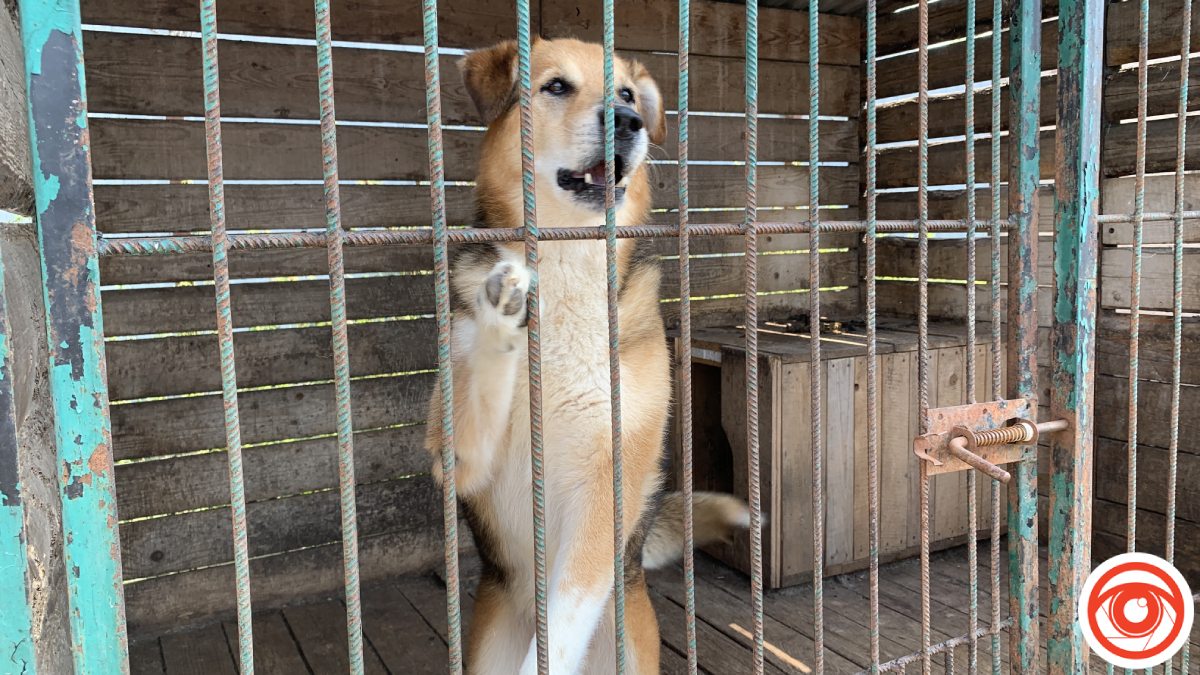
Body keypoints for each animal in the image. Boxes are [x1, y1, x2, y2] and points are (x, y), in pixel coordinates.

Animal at [427, 38, 748, 672]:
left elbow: (563, 620)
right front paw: (503, 313)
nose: (626, 121)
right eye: (555, 86)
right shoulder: (458, 459)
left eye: (626, 94)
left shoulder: (609, 484)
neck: (569, 257)